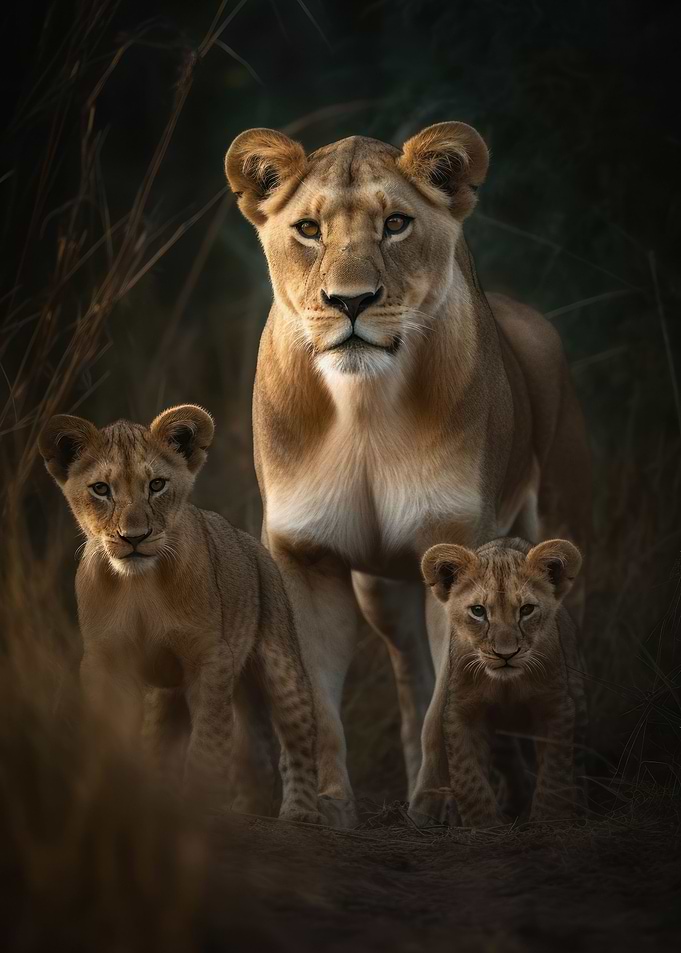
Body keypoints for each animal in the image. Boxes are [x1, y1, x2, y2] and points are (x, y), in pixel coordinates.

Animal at [38, 404, 319, 822]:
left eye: (156, 485)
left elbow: (208, 746)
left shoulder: (211, 659)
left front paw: (199, 806)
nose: (134, 537)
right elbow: (114, 734)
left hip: (281, 662)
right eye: (101, 489)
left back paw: (301, 811)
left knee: (297, 738)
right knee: (245, 751)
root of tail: (250, 540)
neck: (139, 586)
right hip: (165, 696)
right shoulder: (105, 661)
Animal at [410, 536, 587, 828]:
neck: (507, 685)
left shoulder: (556, 705)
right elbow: (468, 777)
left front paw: (551, 820)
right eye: (478, 611)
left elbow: (555, 770)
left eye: (526, 610)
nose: (506, 654)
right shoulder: (461, 711)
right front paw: (484, 825)